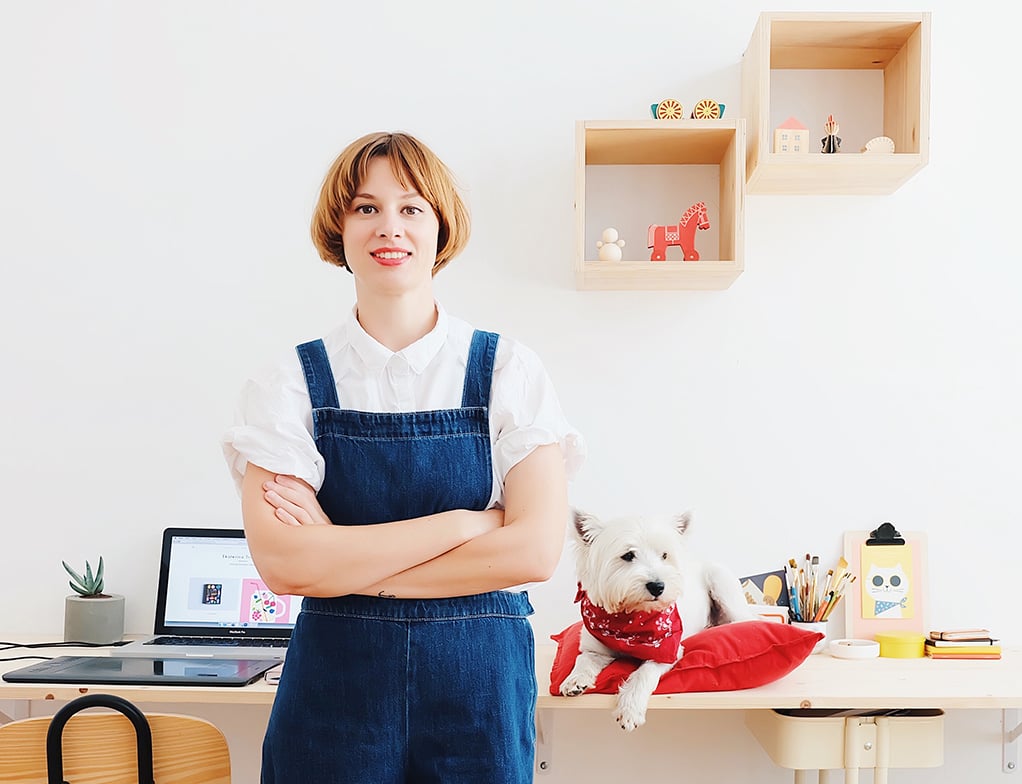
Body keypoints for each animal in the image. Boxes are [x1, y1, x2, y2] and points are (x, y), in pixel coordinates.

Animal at [564, 509, 756, 727]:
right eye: (628, 555)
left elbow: (644, 673)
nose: (657, 586)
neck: (629, 622)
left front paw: (630, 709)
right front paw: (574, 680)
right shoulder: (594, 648)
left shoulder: (667, 648)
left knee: (745, 620)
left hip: (722, 584)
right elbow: (583, 659)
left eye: (664, 555)